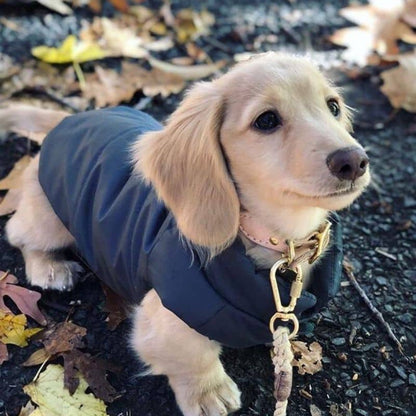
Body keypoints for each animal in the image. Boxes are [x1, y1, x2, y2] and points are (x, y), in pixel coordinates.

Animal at [2, 52, 368, 416]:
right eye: (266, 120)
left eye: (333, 106)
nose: (354, 161)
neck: (272, 236)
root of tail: (69, 119)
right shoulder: (169, 310)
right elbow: (191, 355)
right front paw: (209, 392)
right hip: (48, 221)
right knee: (19, 234)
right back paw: (49, 267)